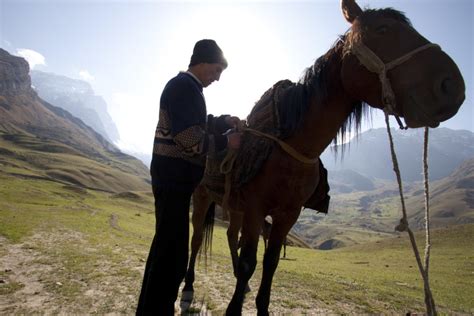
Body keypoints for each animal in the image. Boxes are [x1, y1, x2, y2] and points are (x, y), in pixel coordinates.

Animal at [183, 0, 464, 314]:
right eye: (382, 29)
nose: (451, 86)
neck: (292, 149)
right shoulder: (256, 209)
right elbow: (249, 262)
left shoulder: (287, 215)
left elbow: (269, 263)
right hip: (204, 198)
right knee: (197, 240)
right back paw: (190, 285)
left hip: (235, 207)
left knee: (232, 236)